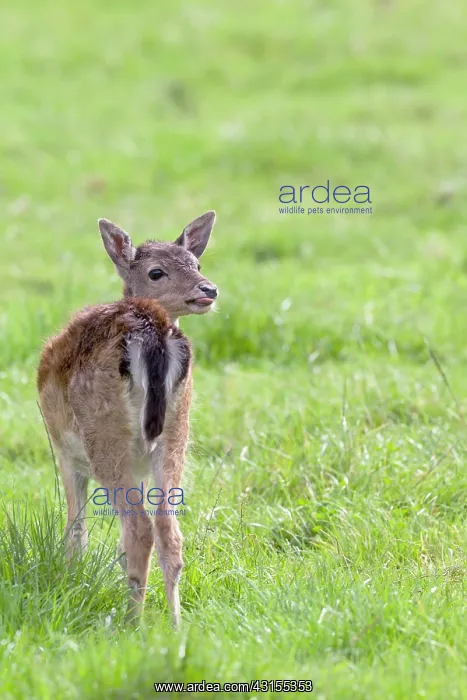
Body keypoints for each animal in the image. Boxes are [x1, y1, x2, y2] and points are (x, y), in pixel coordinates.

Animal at [37, 211, 218, 627]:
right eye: (156, 272)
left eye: (197, 264)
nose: (209, 289)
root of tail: (152, 333)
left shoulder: (64, 453)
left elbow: (75, 528)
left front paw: (69, 582)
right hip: (176, 431)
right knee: (169, 530)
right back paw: (175, 624)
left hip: (104, 435)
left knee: (137, 529)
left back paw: (132, 624)